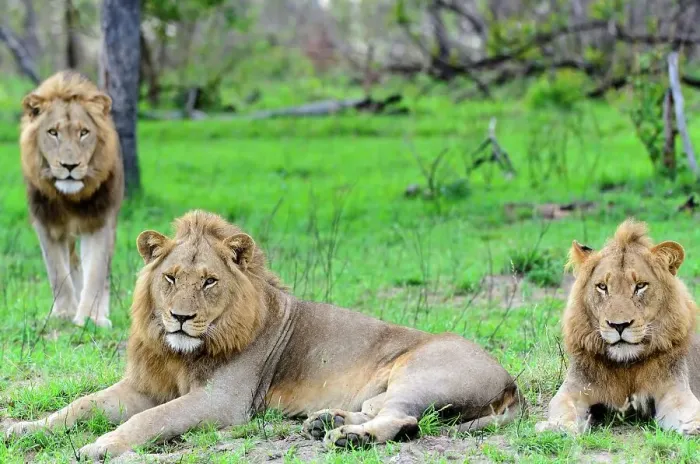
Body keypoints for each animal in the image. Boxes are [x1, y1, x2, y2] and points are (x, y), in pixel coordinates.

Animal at [6, 210, 521, 460]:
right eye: (170, 277)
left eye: (209, 282)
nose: (179, 317)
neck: (180, 353)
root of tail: (510, 382)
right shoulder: (144, 386)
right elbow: (78, 406)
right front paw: (18, 429)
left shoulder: (223, 402)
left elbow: (149, 421)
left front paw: (100, 446)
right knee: (385, 411)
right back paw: (326, 422)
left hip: (421, 374)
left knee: (403, 418)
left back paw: (346, 438)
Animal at [20, 70, 123, 328]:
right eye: (53, 132)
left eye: (84, 132)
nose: (70, 166)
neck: (69, 198)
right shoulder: (46, 224)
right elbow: (58, 272)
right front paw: (65, 313)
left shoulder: (99, 222)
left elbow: (95, 271)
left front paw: (91, 318)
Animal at [536, 219, 700, 435]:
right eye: (602, 287)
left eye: (640, 286)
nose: (619, 325)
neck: (626, 368)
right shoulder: (573, 389)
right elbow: (563, 407)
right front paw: (558, 427)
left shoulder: (674, 389)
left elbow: (687, 408)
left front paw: (695, 426)